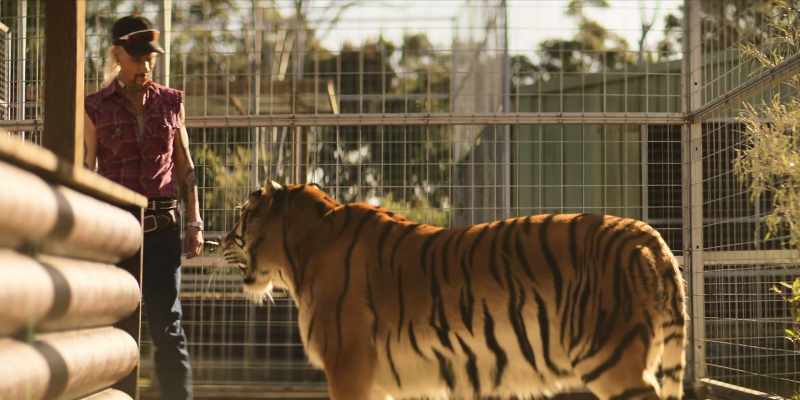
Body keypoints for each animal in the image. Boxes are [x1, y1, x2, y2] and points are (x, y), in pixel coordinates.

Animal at [221, 181, 688, 400]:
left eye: (241, 215)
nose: (217, 240)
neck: (300, 251)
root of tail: (646, 235)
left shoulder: (348, 365)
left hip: (610, 357)